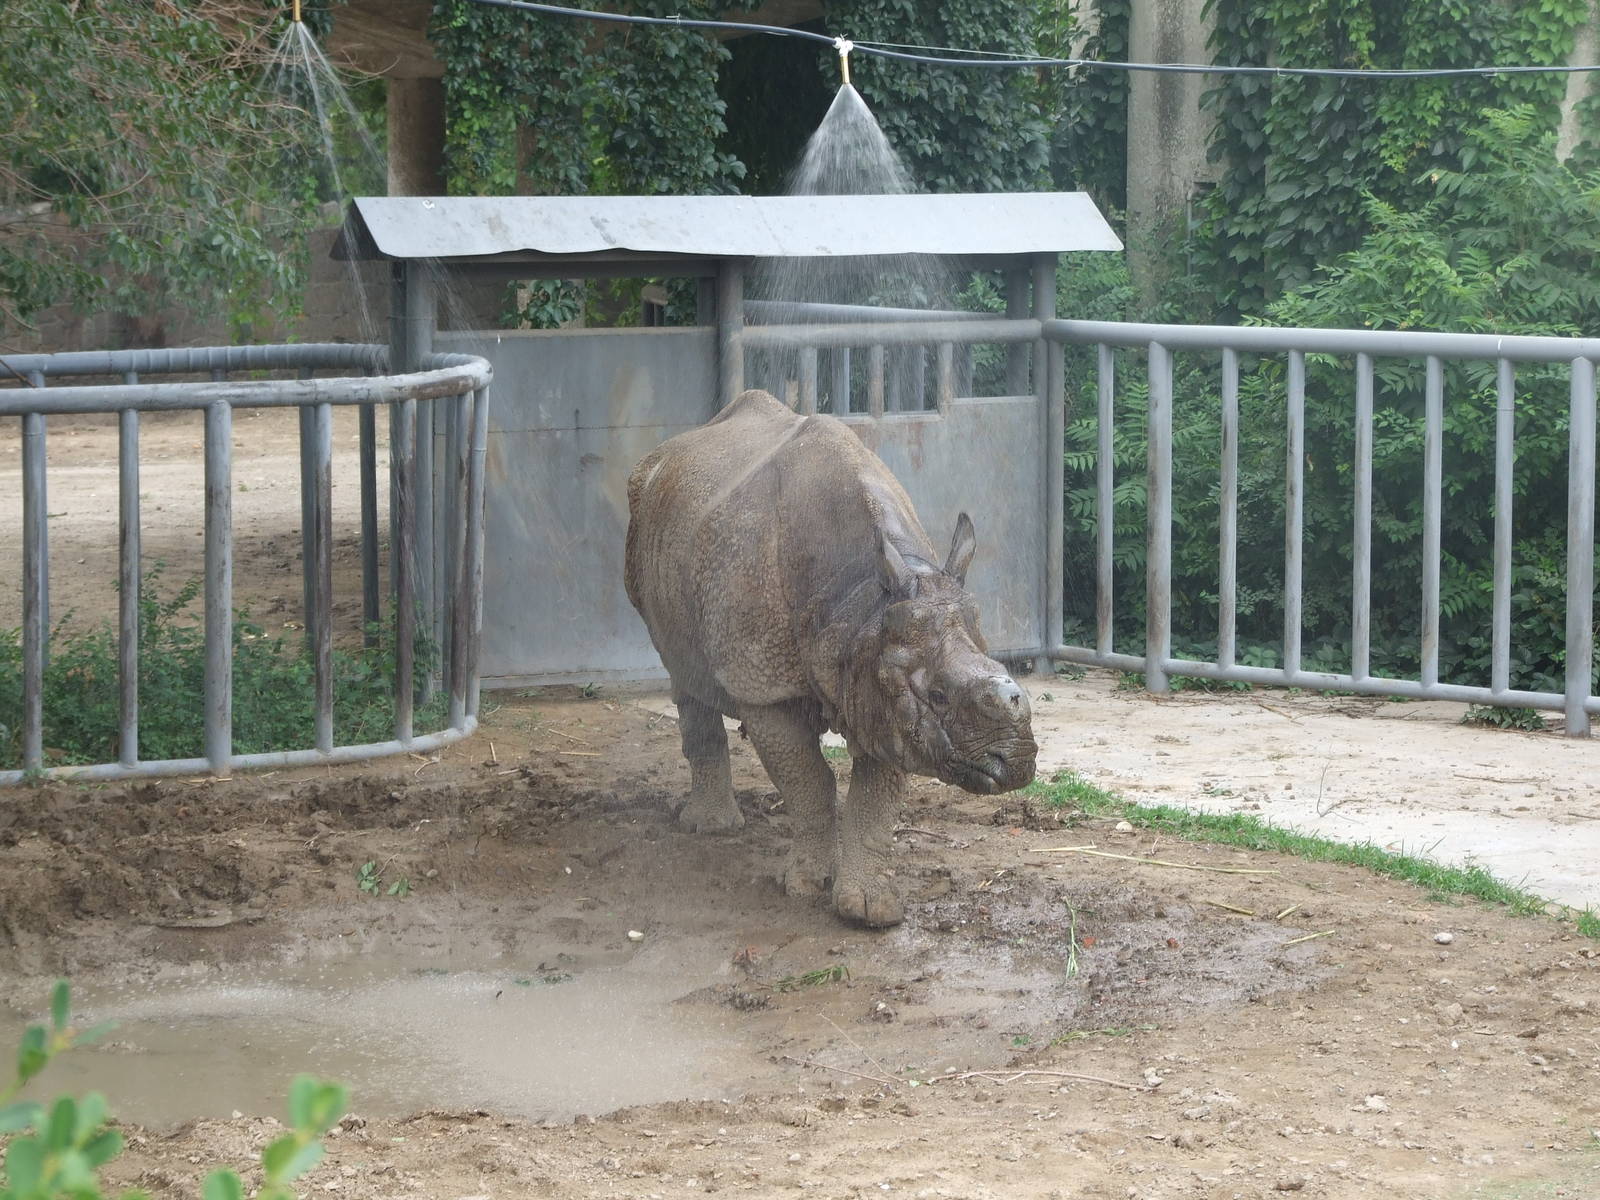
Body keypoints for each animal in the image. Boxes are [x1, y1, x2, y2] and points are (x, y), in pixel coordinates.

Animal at [624, 388, 1037, 927]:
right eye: (939, 696)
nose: (1017, 762)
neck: (861, 604)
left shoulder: (886, 689)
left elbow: (874, 802)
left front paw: (868, 910)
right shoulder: (767, 685)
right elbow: (810, 783)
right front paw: (805, 887)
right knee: (683, 672)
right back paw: (712, 829)